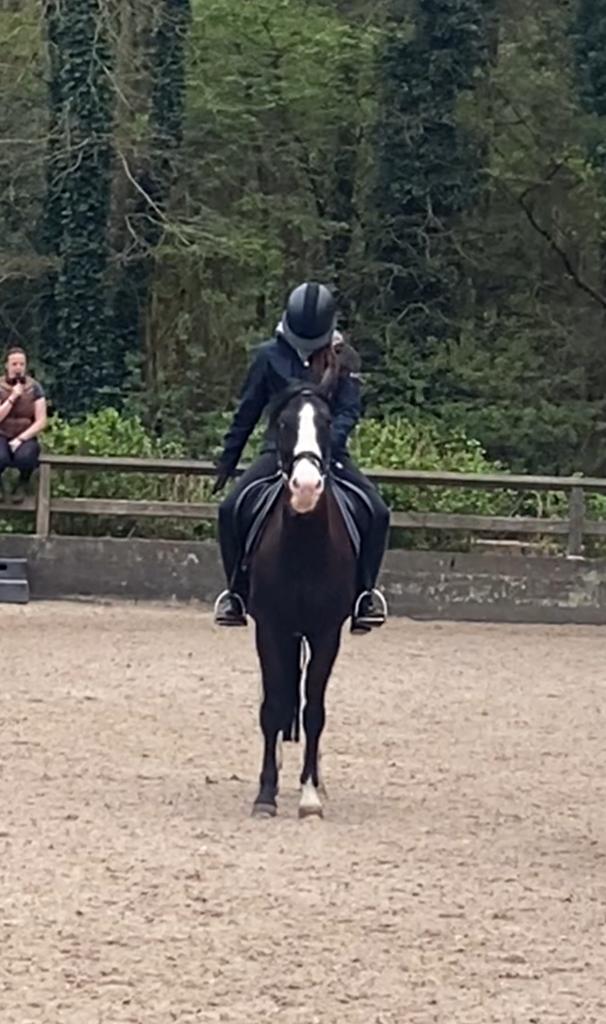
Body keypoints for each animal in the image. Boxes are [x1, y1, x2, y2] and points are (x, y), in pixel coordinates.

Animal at [246, 379, 358, 819]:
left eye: (326, 422)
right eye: (283, 423)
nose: (306, 489)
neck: (304, 551)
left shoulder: (327, 633)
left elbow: (313, 712)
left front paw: (310, 795)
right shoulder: (270, 630)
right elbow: (273, 707)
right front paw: (265, 794)